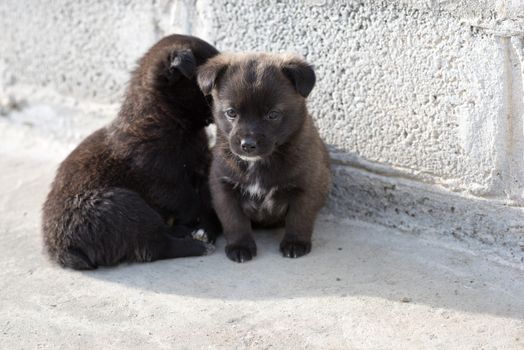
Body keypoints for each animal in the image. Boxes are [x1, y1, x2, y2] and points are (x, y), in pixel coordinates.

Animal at [41, 34, 221, 270]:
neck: (164, 117)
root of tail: (61, 250)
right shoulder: (164, 179)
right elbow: (189, 201)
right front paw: (203, 227)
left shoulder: (200, 164)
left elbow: (205, 197)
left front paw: (208, 226)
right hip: (122, 207)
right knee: (154, 245)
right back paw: (196, 245)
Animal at [199, 52, 330, 262]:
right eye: (231, 113)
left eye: (273, 115)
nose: (247, 144)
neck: (258, 163)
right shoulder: (223, 187)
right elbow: (234, 221)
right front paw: (240, 246)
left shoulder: (307, 186)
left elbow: (299, 218)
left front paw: (295, 243)